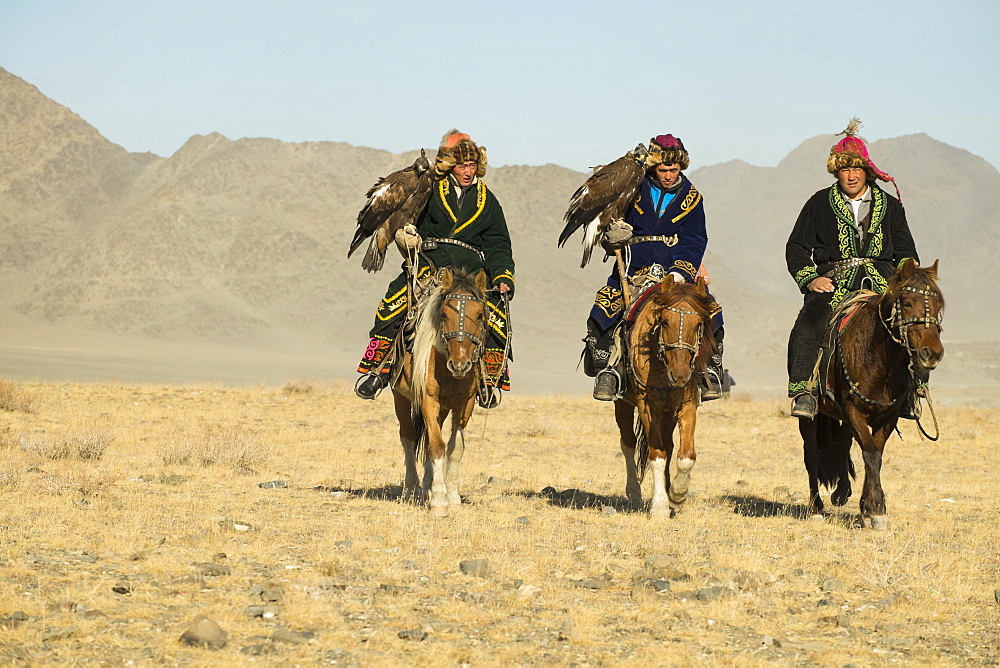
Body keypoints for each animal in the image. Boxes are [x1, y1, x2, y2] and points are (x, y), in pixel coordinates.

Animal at [390, 266, 488, 516]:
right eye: (444, 314)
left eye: (480, 315)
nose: (460, 364)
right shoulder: (427, 399)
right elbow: (436, 445)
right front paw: (440, 502)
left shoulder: (465, 403)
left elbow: (455, 448)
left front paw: (452, 496)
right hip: (401, 398)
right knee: (408, 437)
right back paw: (411, 490)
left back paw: (427, 487)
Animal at [612, 274, 716, 520]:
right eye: (665, 322)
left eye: (699, 324)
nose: (680, 374)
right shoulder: (648, 406)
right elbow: (657, 455)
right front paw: (659, 506)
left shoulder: (687, 404)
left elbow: (686, 456)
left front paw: (676, 495)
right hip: (624, 404)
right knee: (628, 443)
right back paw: (635, 494)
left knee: (669, 446)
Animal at [796, 260, 944, 528]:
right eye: (907, 303)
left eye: (938, 305)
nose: (933, 353)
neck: (878, 359)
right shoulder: (854, 410)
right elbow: (871, 453)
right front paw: (876, 509)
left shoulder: (888, 416)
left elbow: (875, 452)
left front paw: (869, 507)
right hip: (812, 414)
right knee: (811, 454)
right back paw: (815, 508)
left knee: (842, 445)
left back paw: (842, 492)